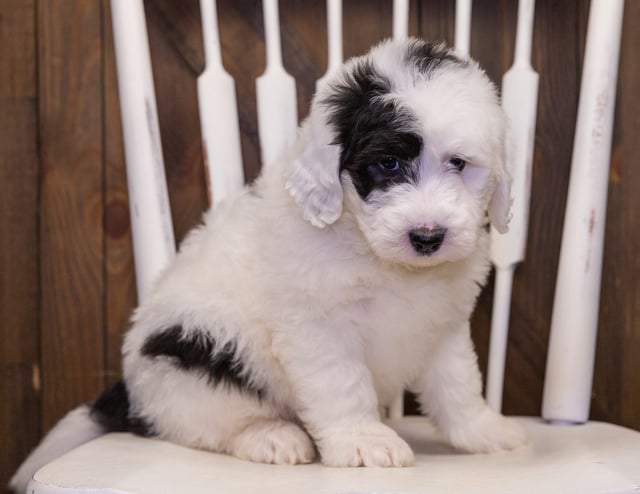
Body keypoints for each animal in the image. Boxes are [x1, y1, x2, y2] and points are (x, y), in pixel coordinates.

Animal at [12, 38, 528, 490]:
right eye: (387, 165)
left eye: (458, 164)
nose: (427, 237)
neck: (375, 254)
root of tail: (130, 394)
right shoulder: (318, 325)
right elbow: (342, 383)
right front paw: (363, 440)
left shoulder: (443, 323)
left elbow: (458, 382)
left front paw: (484, 431)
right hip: (199, 356)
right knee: (205, 423)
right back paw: (271, 435)